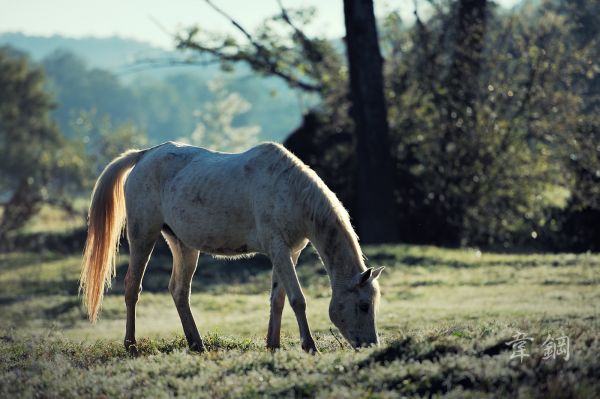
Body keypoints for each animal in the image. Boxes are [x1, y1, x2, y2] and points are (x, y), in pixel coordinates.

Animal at [79, 141, 384, 354]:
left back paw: (196, 344)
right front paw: (309, 347)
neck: (290, 190)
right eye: (364, 305)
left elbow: (278, 298)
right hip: (143, 236)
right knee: (133, 288)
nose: (370, 345)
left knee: (179, 292)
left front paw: (273, 345)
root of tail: (144, 155)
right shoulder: (278, 249)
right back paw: (131, 345)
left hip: (183, 246)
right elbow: (297, 299)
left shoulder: (289, 252)